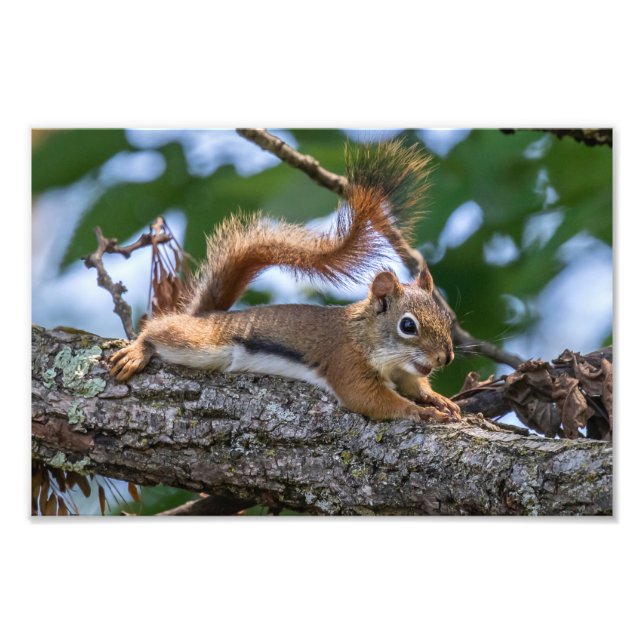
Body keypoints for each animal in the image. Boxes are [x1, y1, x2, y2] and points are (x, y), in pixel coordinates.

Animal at [109, 140, 461, 422]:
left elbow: (414, 384)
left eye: (447, 319)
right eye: (408, 326)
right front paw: (420, 412)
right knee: (162, 331)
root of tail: (206, 315)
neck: (366, 334)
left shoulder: (403, 370)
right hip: (199, 343)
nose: (446, 358)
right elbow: (370, 400)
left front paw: (436, 398)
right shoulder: (346, 363)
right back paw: (137, 350)